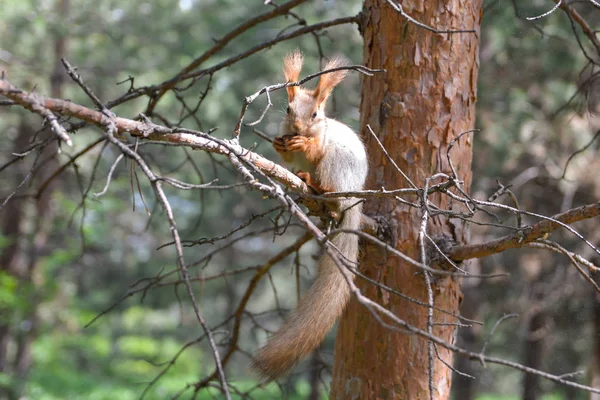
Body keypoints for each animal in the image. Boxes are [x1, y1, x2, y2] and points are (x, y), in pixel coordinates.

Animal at [251, 51, 368, 380]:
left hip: (334, 168)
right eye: (289, 109)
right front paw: (281, 143)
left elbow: (314, 150)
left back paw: (316, 185)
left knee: (329, 184)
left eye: (316, 114)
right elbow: (285, 152)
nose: (299, 129)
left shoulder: (322, 143)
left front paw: (303, 144)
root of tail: (354, 201)